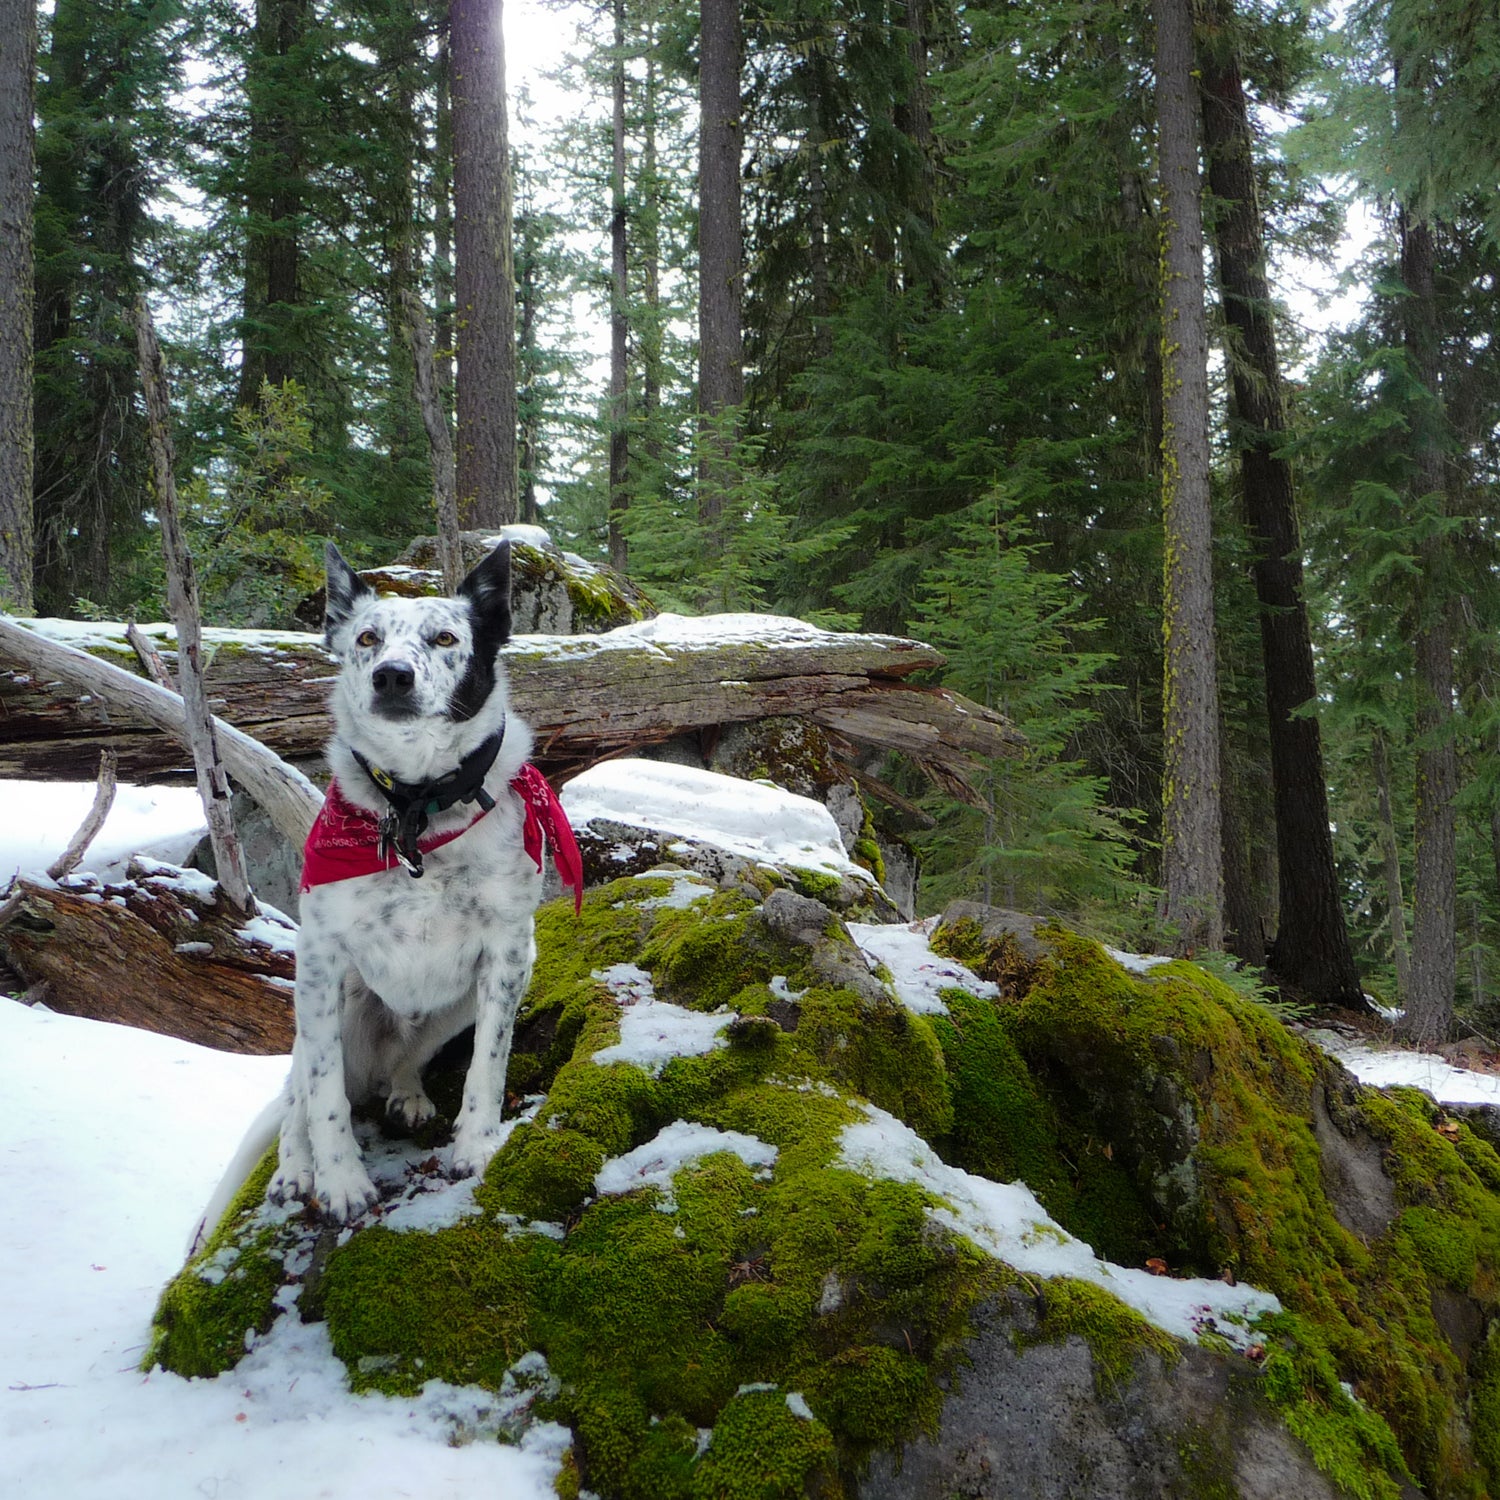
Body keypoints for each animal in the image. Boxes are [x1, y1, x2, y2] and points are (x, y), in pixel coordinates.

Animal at [192, 546, 573, 1248]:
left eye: (445, 638)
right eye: (367, 638)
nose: (392, 676)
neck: (418, 808)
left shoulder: (509, 954)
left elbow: (489, 1064)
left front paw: (476, 1146)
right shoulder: (318, 961)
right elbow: (323, 1098)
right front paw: (339, 1181)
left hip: (457, 1006)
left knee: (408, 1060)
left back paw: (408, 1094)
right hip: (331, 1010)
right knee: (300, 1097)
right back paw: (296, 1167)